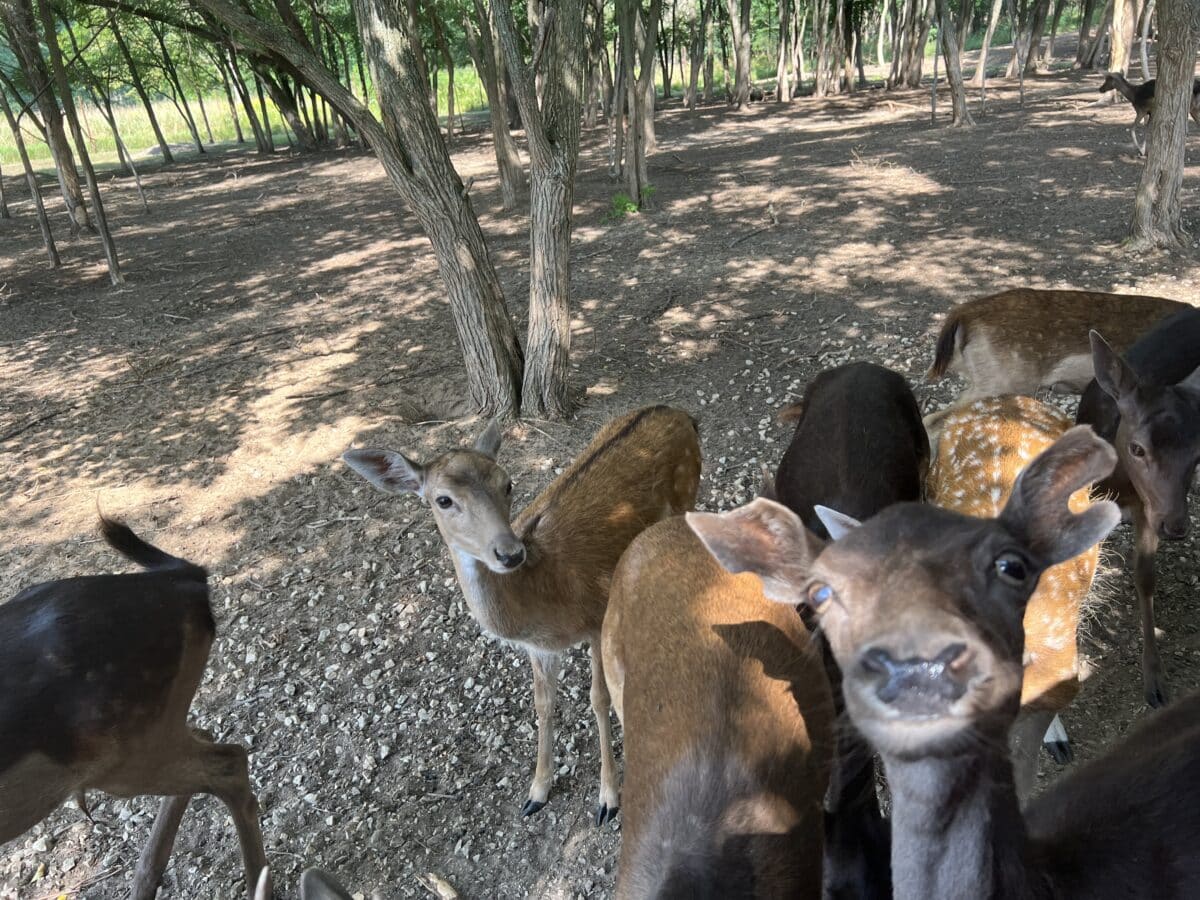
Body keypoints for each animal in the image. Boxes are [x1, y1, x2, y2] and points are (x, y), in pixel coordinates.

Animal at [340, 408, 700, 825]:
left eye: (507, 483)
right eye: (443, 500)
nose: (509, 553)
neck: (541, 599)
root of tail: (681, 414)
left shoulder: (597, 617)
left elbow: (599, 699)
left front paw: (608, 799)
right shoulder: (538, 648)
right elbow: (543, 705)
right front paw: (537, 792)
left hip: (688, 494)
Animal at [1080, 307, 1200, 710]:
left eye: (1198, 454)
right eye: (1138, 448)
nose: (1176, 526)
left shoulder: (1151, 508)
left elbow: (1145, 575)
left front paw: (1155, 680)